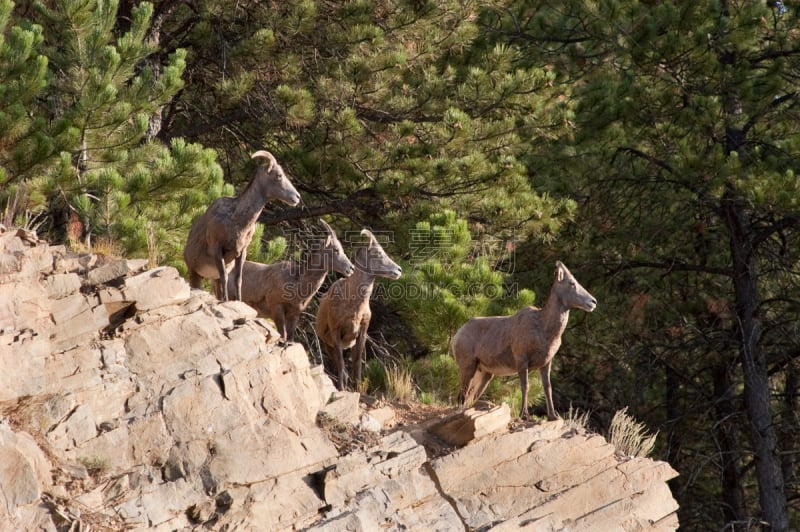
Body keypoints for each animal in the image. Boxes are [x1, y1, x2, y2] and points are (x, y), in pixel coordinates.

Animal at [181, 150, 300, 302]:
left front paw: (237, 301)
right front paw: (226, 301)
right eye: (279, 175)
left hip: (211, 278)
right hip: (194, 273)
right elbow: (225, 277)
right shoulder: (217, 249)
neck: (235, 218)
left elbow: (238, 280)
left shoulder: (242, 252)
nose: (297, 197)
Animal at [222, 219, 354, 344]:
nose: (351, 268)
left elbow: (290, 338)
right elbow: (283, 334)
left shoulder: (294, 314)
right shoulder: (277, 308)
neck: (297, 284)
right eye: (336, 249)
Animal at [312, 230, 400, 390]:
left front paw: (358, 389)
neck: (355, 306)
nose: (398, 270)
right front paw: (341, 389)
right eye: (377, 253)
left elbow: (357, 363)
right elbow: (341, 364)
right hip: (328, 345)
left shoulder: (361, 333)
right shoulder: (336, 333)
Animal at [450, 262, 592, 420]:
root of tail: (457, 335)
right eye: (572, 283)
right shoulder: (522, 360)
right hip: (468, 367)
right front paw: (524, 415)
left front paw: (553, 416)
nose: (593, 302)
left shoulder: (546, 363)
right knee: (462, 395)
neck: (543, 328)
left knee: (469, 396)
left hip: (484, 374)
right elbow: (525, 386)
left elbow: (547, 388)